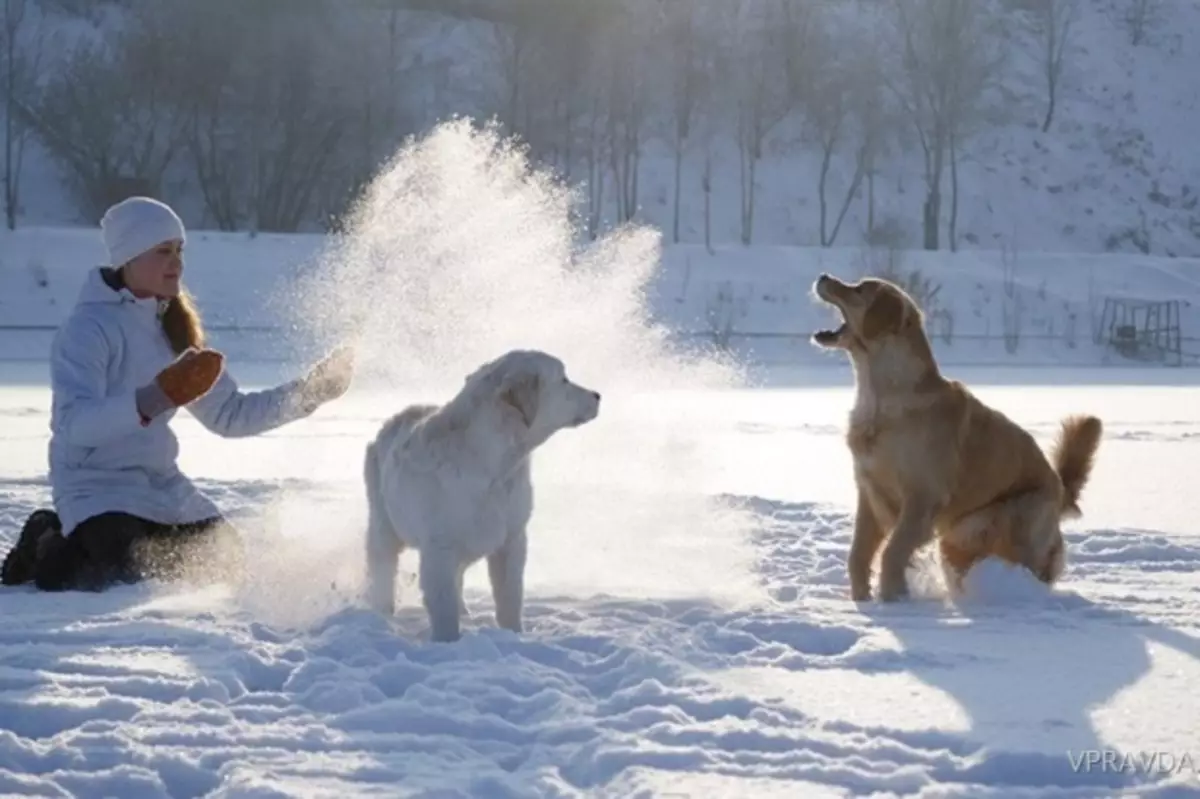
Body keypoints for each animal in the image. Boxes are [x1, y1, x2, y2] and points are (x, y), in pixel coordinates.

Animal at [355, 347, 600, 643]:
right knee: (383, 568)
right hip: (384, 524)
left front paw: (513, 635)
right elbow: (443, 605)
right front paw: (448, 641)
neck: (491, 464)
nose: (597, 395)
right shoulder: (439, 547)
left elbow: (509, 597)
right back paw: (383, 614)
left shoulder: (512, 539)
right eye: (563, 379)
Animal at [811, 272, 1099, 597]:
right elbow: (857, 554)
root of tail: (1060, 488)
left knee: (1037, 566)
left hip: (1005, 523)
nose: (823, 276)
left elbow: (893, 551)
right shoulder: (870, 494)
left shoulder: (922, 498)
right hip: (960, 538)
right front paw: (862, 599)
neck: (883, 396)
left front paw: (893, 598)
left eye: (859, 289)